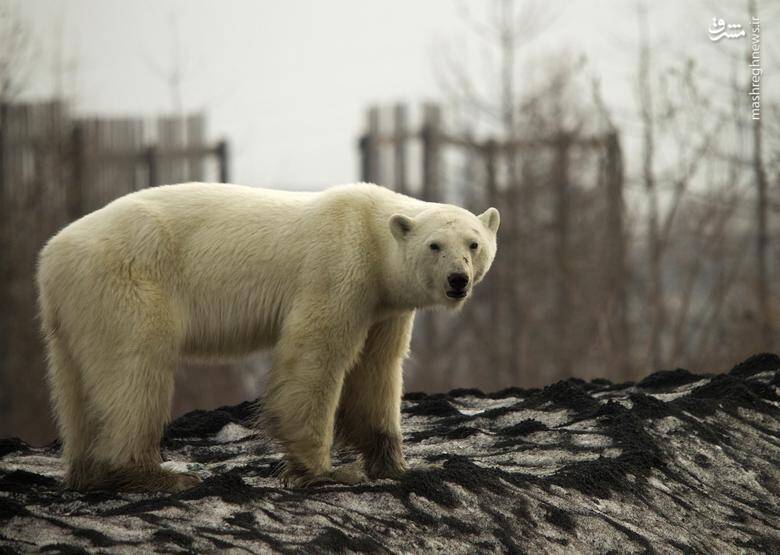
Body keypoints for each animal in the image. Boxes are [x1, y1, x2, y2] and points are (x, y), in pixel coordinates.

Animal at [38, 182, 500, 490]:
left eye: (473, 244)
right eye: (435, 245)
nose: (457, 281)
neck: (371, 230)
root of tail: (51, 255)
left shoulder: (384, 306)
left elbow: (377, 370)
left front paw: (396, 465)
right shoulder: (338, 270)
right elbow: (315, 355)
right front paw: (325, 470)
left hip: (74, 309)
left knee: (75, 384)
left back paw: (89, 472)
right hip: (129, 280)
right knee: (134, 369)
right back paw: (155, 474)